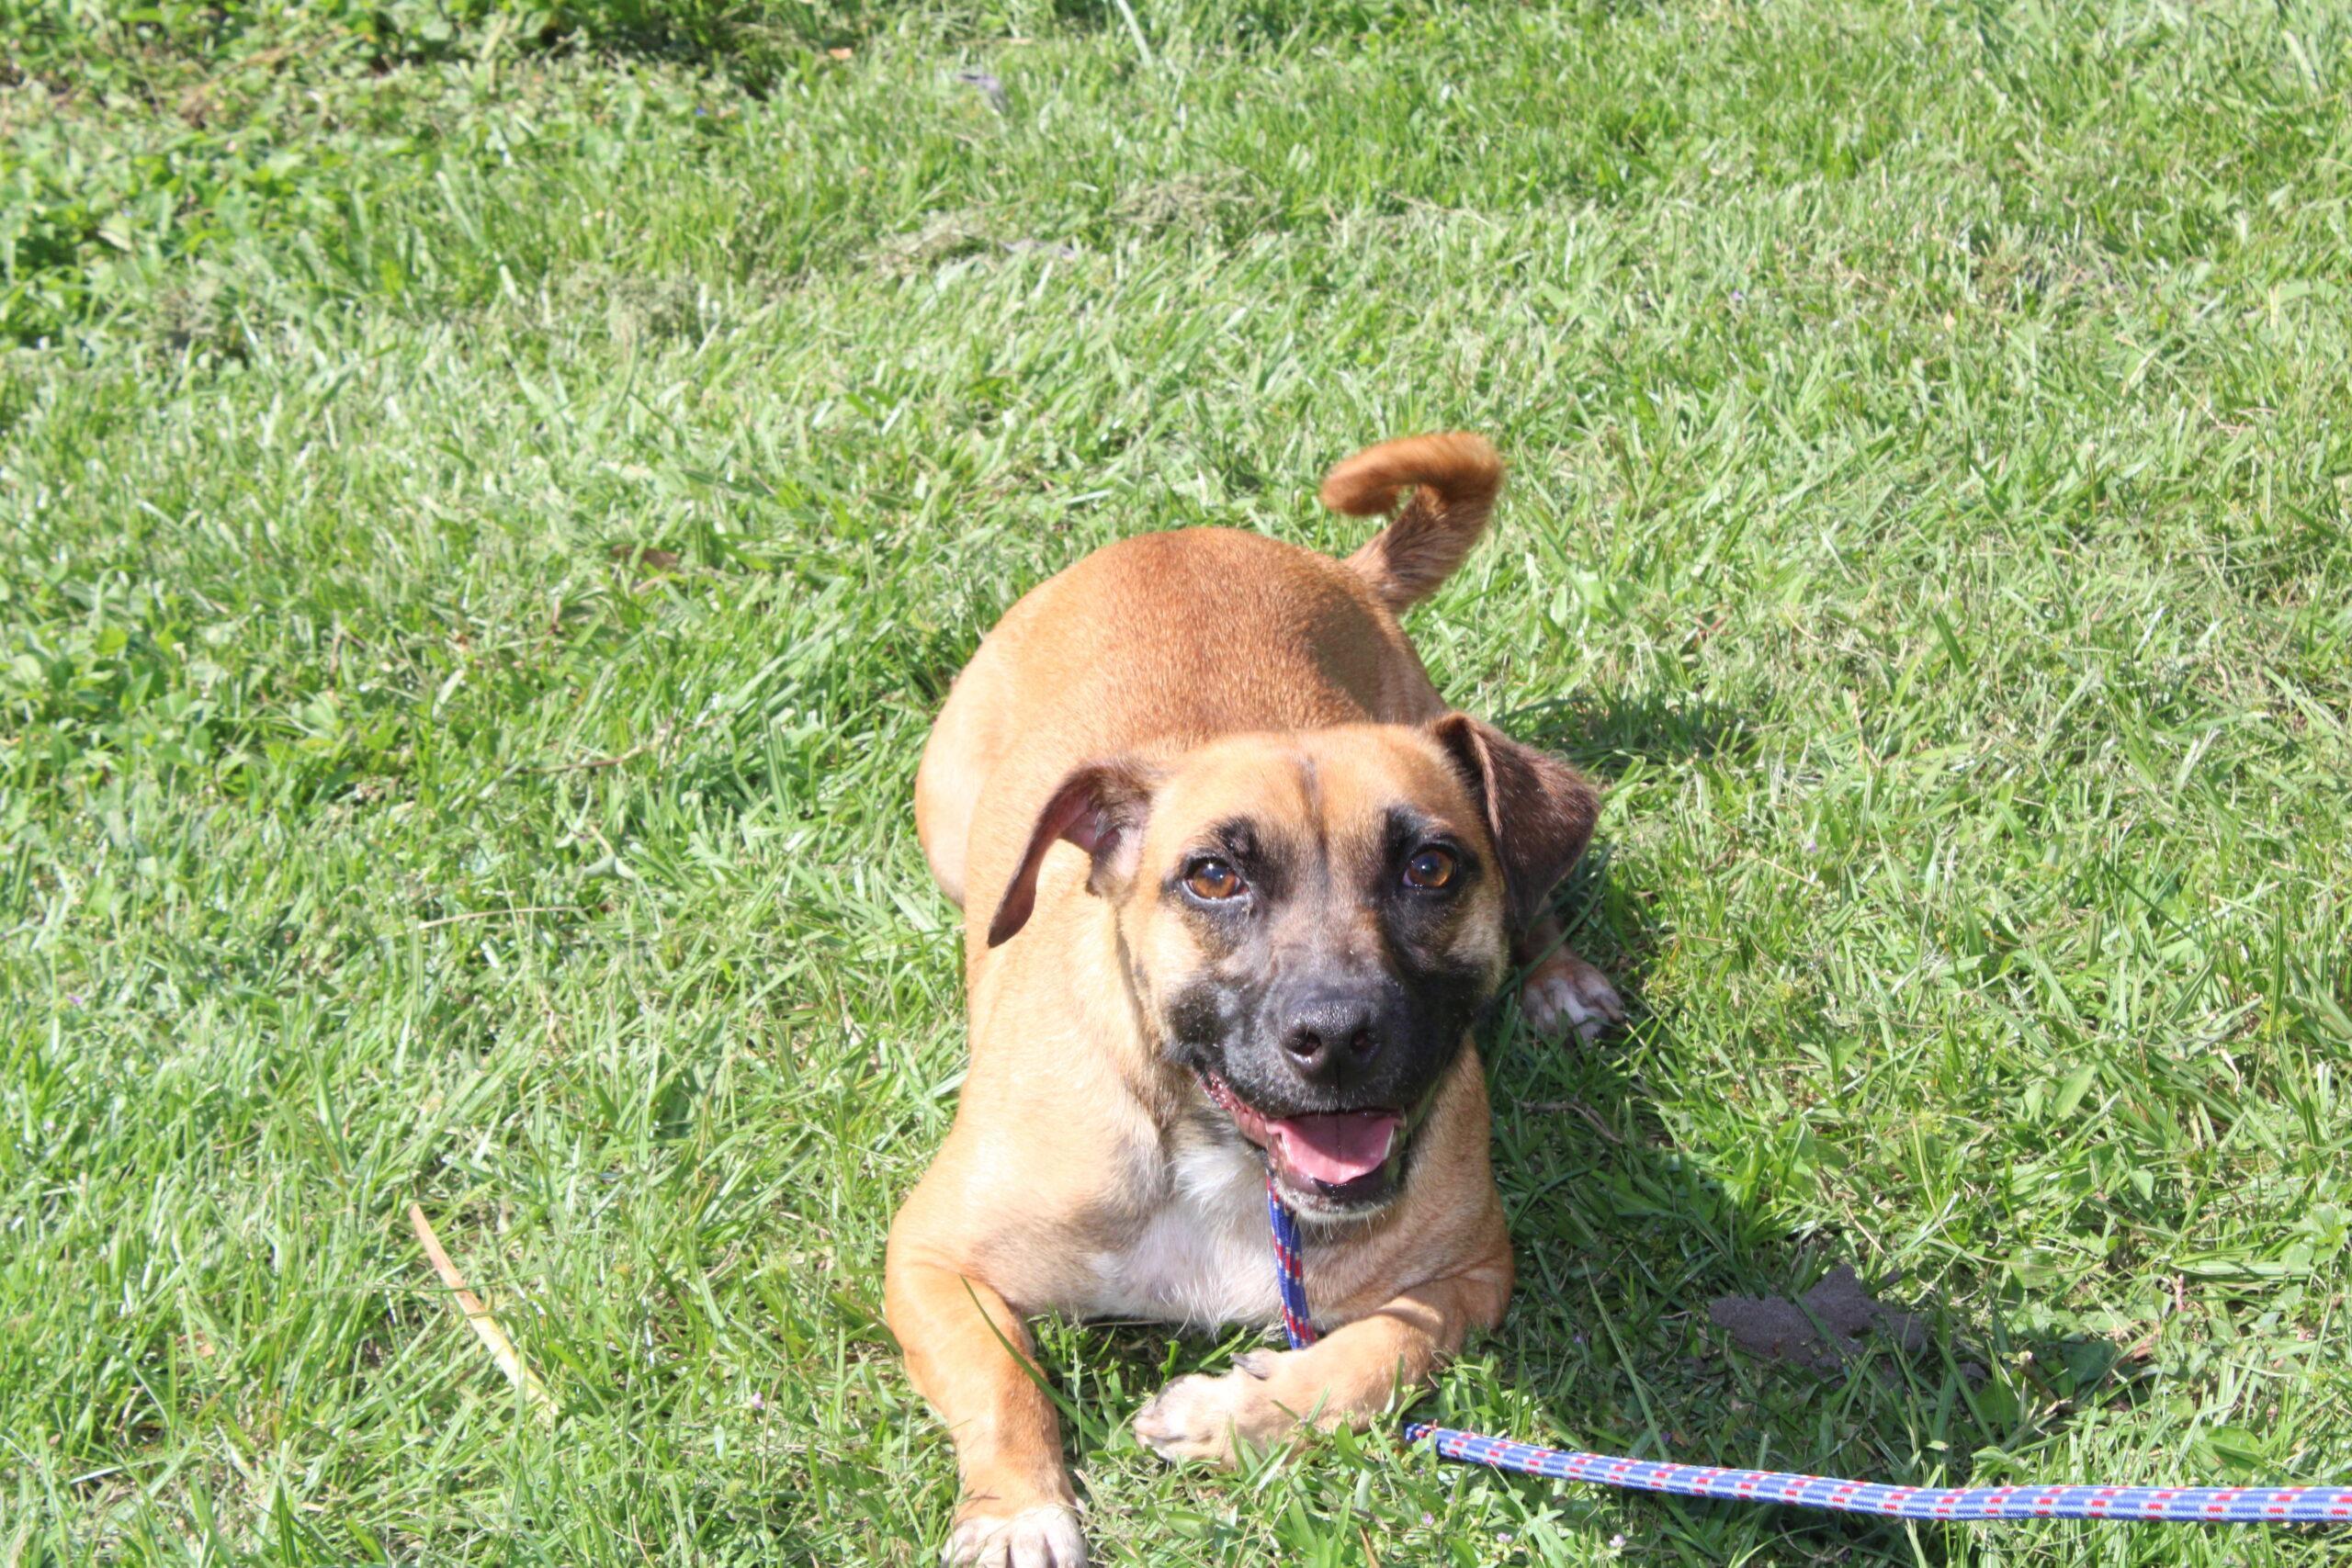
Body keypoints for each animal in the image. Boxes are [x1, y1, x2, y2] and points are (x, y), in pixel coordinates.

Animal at [884, 434, 1618, 1561]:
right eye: (1212, 877)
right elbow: (1001, 1384)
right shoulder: (931, 1258)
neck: (1217, 1156)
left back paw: (1558, 978)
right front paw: (1018, 1511)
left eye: (1433, 868)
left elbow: (1370, 1356)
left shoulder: (1470, 1276)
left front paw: (1235, 1411)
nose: (1337, 1034)